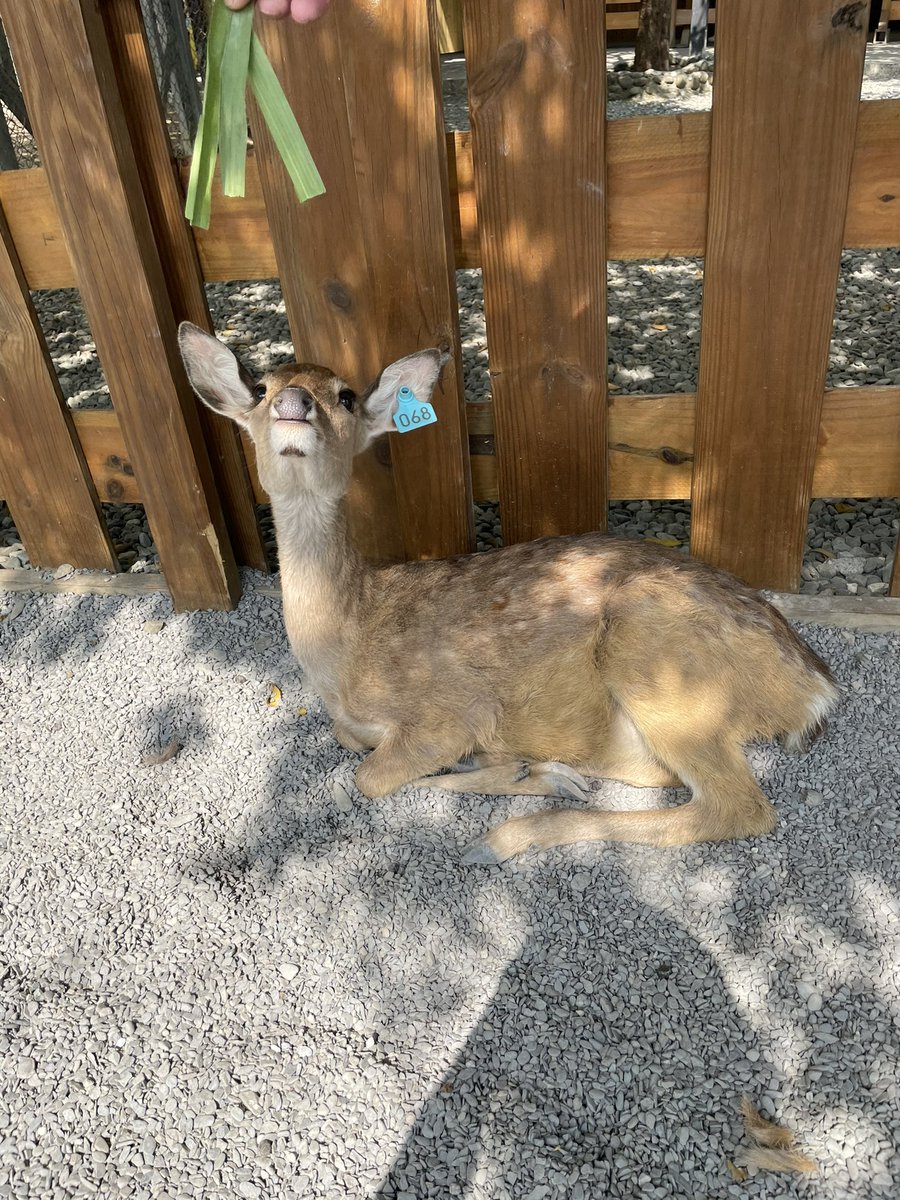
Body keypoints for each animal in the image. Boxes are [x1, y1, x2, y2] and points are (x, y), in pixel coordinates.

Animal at [178, 323, 839, 865]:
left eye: (343, 395)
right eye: (261, 386)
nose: (293, 402)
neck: (344, 648)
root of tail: (815, 688)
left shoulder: (449, 711)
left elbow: (362, 779)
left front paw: (521, 772)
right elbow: (351, 749)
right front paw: (527, 769)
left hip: (666, 667)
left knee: (739, 806)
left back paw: (505, 834)